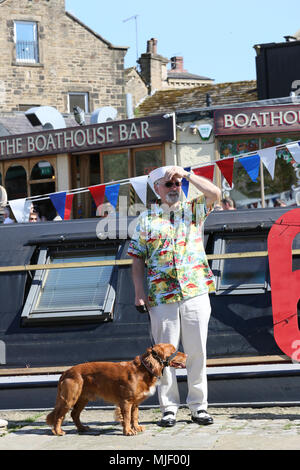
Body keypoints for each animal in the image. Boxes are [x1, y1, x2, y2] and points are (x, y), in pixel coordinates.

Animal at [46, 342, 185, 436]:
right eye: (174, 351)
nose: (186, 355)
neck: (143, 369)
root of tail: (66, 372)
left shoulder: (135, 403)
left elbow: (135, 416)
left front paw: (136, 427)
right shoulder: (126, 401)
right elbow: (127, 417)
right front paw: (128, 431)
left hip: (83, 398)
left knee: (74, 414)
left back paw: (82, 428)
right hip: (70, 398)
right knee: (59, 415)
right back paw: (58, 431)